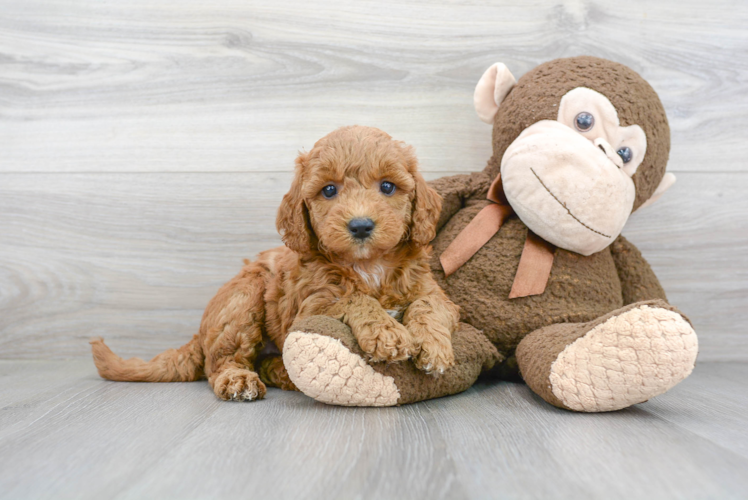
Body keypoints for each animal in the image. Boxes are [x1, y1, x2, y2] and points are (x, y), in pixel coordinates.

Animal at [90, 126, 458, 402]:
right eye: (329, 190)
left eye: (387, 186)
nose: (361, 226)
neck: (369, 266)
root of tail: (199, 333)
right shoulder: (310, 307)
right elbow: (355, 299)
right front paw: (387, 333)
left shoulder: (436, 294)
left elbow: (427, 305)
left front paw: (434, 348)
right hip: (243, 300)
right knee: (221, 361)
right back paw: (239, 380)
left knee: (266, 361)